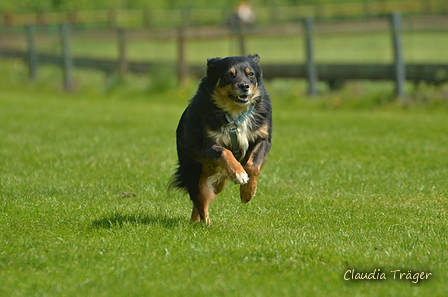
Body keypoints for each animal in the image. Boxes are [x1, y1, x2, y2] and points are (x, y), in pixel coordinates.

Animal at [170, 53, 272, 224]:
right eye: (229, 74)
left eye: (251, 74)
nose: (244, 86)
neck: (235, 111)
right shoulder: (209, 145)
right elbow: (225, 152)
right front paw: (238, 173)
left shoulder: (262, 138)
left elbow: (253, 166)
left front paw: (247, 192)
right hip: (193, 171)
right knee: (200, 200)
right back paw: (206, 224)